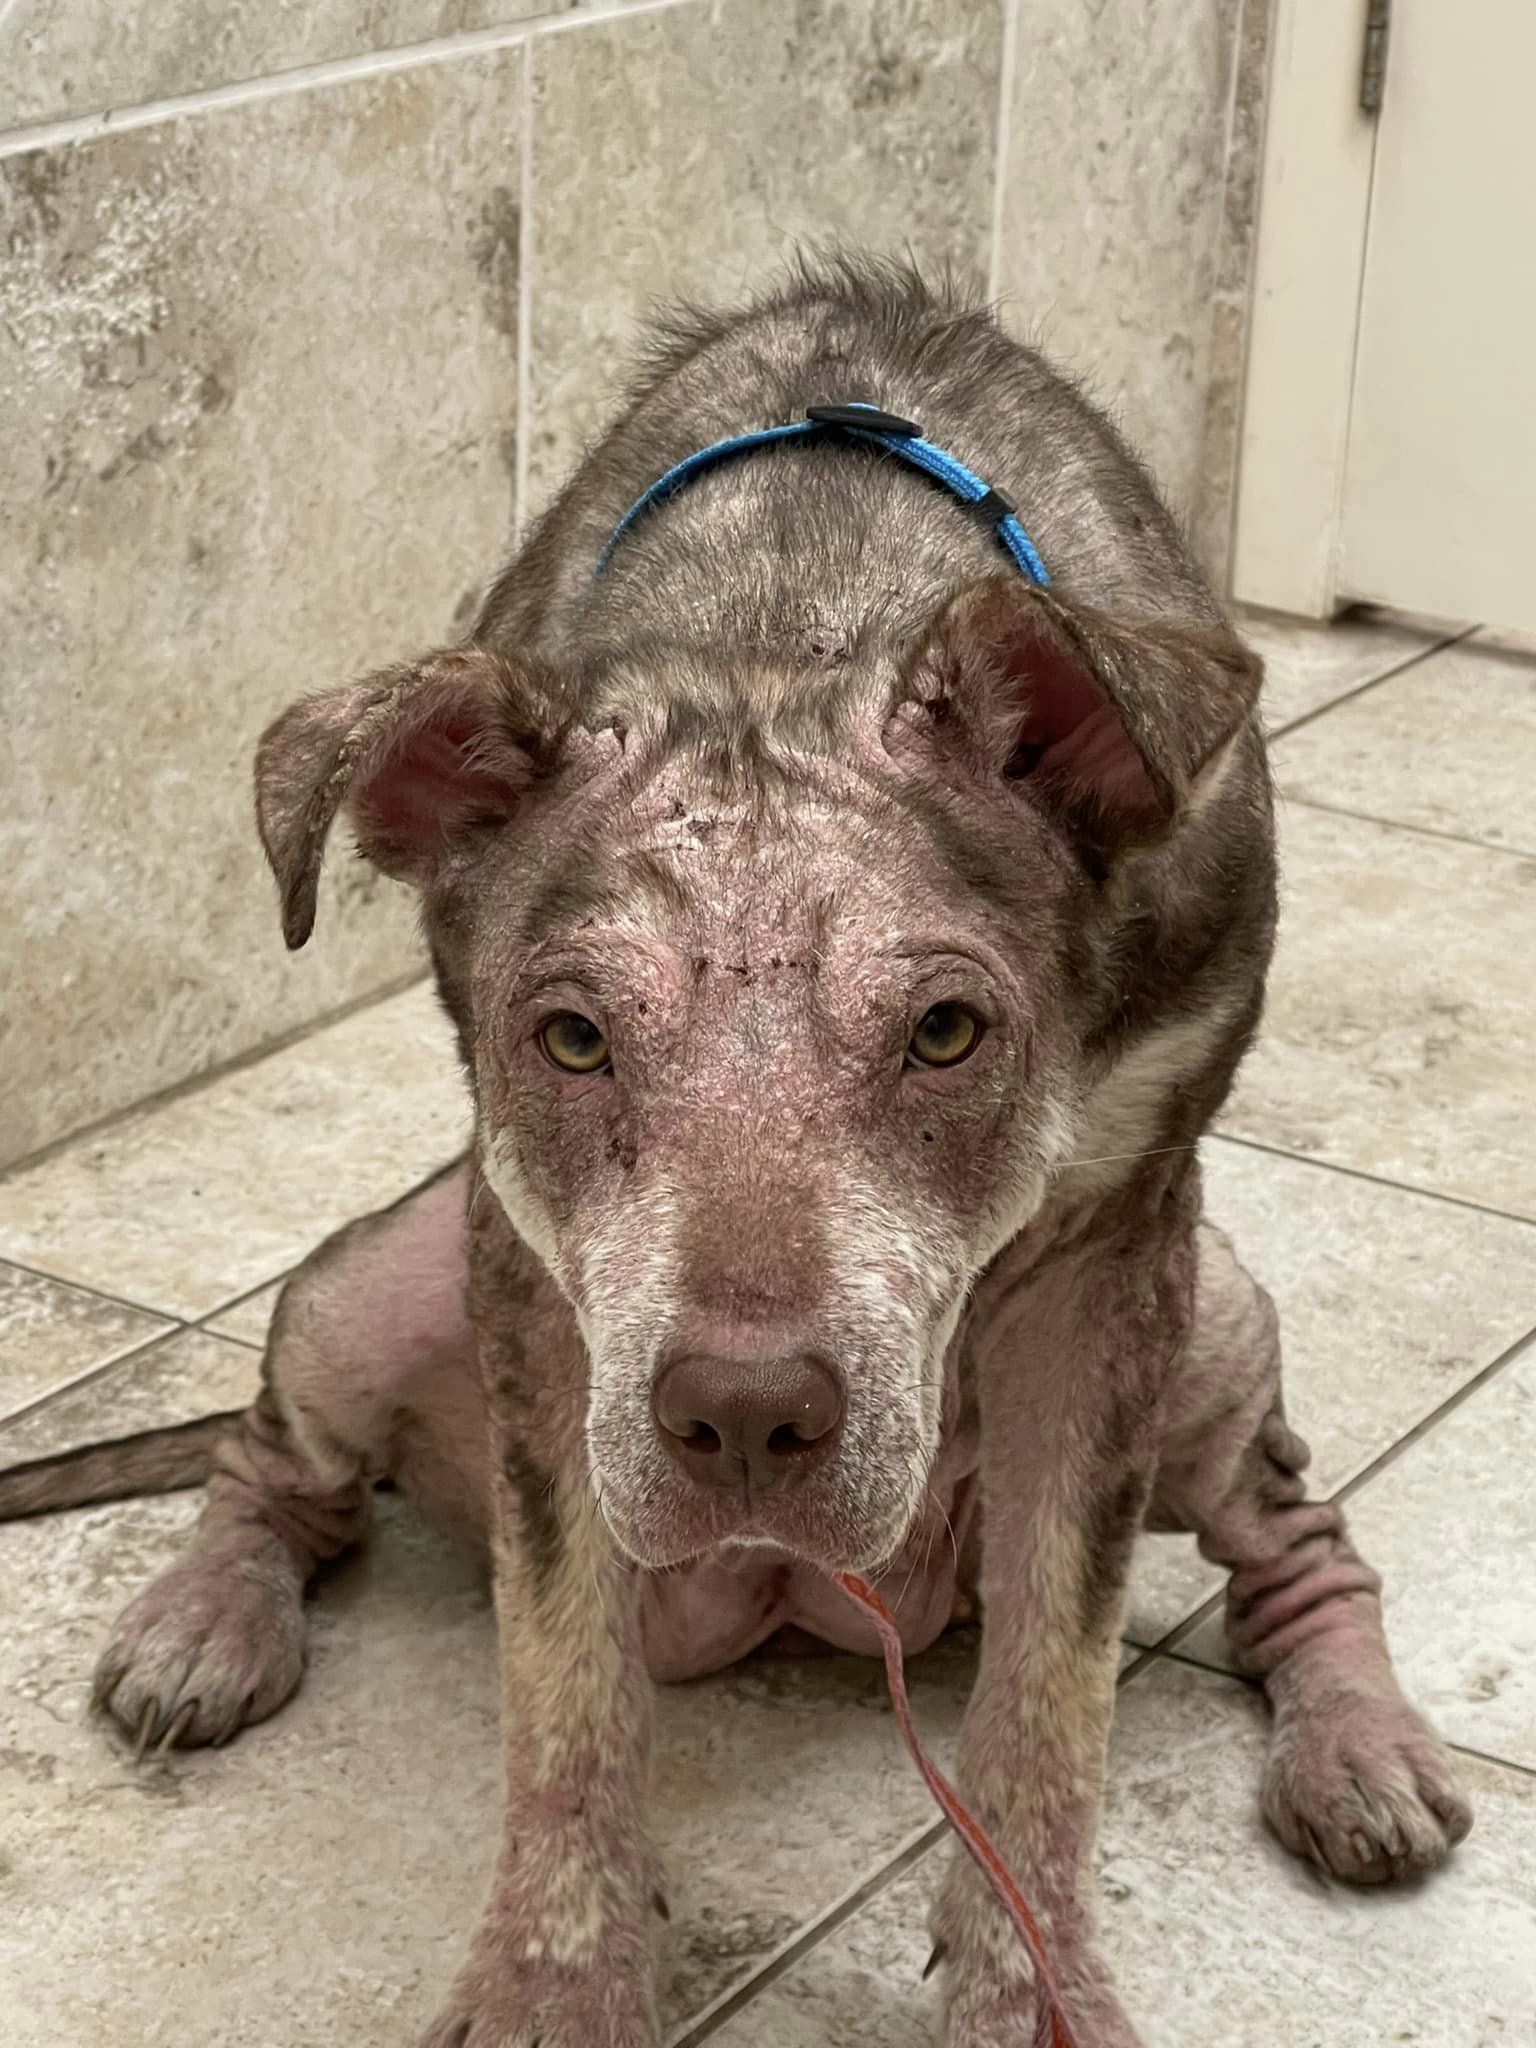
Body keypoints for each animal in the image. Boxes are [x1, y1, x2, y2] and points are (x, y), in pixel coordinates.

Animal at [0, 260, 1474, 2048]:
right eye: (571, 1040)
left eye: (946, 1030)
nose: (746, 1419)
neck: (795, 613)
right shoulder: (530, 1277)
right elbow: (562, 1673)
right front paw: (555, 1981)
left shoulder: (1116, 1257)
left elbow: (1056, 1683)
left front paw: (1031, 1988)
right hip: (374, 1283)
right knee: (274, 1463)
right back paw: (205, 1621)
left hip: (1220, 1315)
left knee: (1298, 1537)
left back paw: (1358, 1746)